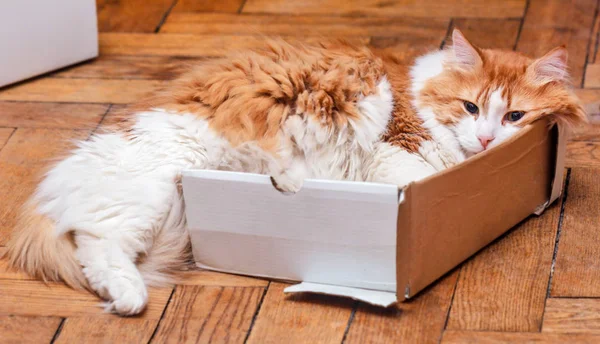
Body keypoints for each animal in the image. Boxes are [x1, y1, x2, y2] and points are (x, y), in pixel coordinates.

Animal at [4, 30, 584, 316]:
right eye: (470, 107)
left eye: (514, 117)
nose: (486, 140)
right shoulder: (392, 145)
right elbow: (408, 172)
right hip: (148, 194)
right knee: (96, 244)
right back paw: (130, 300)